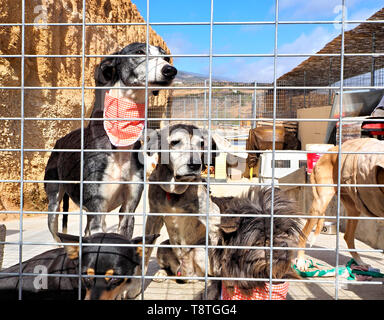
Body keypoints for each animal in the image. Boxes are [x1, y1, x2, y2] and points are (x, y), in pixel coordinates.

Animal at [296, 138, 384, 270]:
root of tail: (328, 151)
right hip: (321, 203)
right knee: (303, 234)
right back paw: (301, 261)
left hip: (353, 207)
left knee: (348, 236)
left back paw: (359, 262)